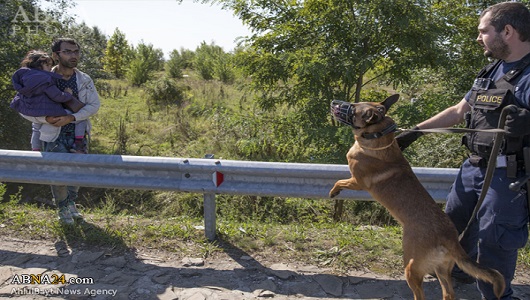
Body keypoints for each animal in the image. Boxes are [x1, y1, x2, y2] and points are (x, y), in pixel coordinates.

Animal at [326, 94, 504, 300]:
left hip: (411, 268)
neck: (378, 137)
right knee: (448, 293)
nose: (333, 103)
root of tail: (450, 238)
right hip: (442, 269)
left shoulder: (357, 182)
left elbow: (339, 181)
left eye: (353, 108)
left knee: (421, 294)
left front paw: (333, 191)